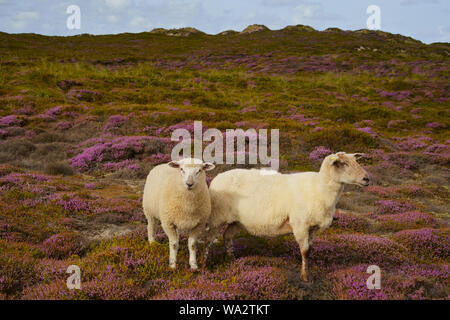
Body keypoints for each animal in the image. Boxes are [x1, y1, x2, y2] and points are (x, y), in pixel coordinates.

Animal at [204, 152, 370, 280]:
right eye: (342, 163)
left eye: (356, 161)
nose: (367, 179)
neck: (320, 187)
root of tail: (217, 177)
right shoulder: (300, 224)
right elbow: (305, 251)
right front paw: (305, 277)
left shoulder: (313, 228)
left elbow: (310, 250)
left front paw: (307, 271)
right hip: (216, 217)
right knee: (208, 240)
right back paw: (205, 265)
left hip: (236, 221)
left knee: (227, 236)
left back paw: (232, 259)